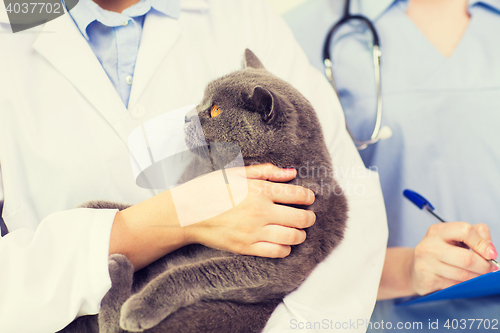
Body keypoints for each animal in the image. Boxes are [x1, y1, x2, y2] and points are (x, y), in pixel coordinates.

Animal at [58, 49, 348, 332]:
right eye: (203, 100)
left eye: (216, 111)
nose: (186, 116)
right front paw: (92, 213)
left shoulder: (273, 264)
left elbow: (196, 273)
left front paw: (142, 305)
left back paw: (118, 271)